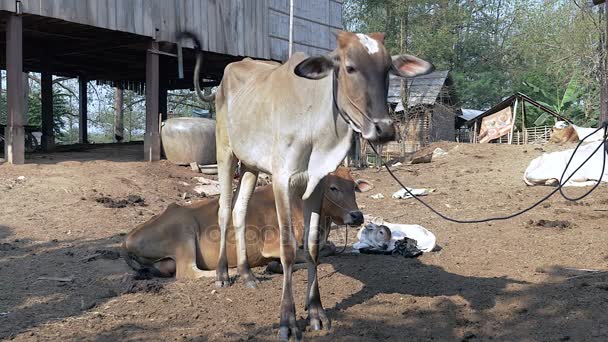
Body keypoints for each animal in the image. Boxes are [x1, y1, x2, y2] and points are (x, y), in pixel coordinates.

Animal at [122, 167, 370, 280]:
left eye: (353, 187)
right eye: (333, 187)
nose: (357, 216)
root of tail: (128, 238)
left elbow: (329, 249)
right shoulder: (272, 243)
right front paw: (273, 266)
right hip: (184, 231)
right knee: (188, 272)